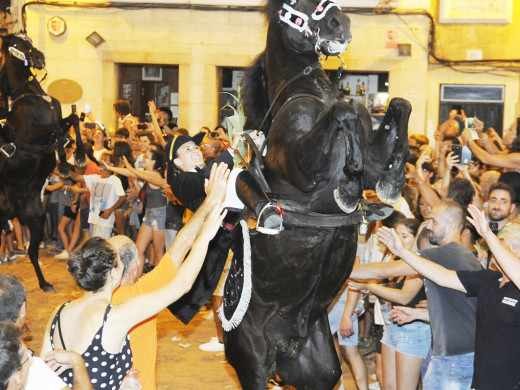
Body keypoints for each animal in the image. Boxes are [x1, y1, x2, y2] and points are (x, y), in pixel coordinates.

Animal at [0, 32, 84, 292]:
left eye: (27, 38)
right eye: (15, 44)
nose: (39, 57)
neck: (30, 93)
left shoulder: (58, 119)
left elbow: (73, 119)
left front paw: (78, 155)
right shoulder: (33, 134)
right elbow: (56, 130)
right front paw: (65, 164)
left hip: (35, 220)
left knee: (33, 252)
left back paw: (45, 283)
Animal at [223, 1, 410, 388]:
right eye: (295, 5)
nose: (341, 22)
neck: (312, 92)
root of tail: (284, 344)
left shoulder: (374, 160)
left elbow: (396, 107)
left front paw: (389, 183)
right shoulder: (303, 172)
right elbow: (345, 111)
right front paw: (348, 188)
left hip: (321, 370)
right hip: (253, 364)